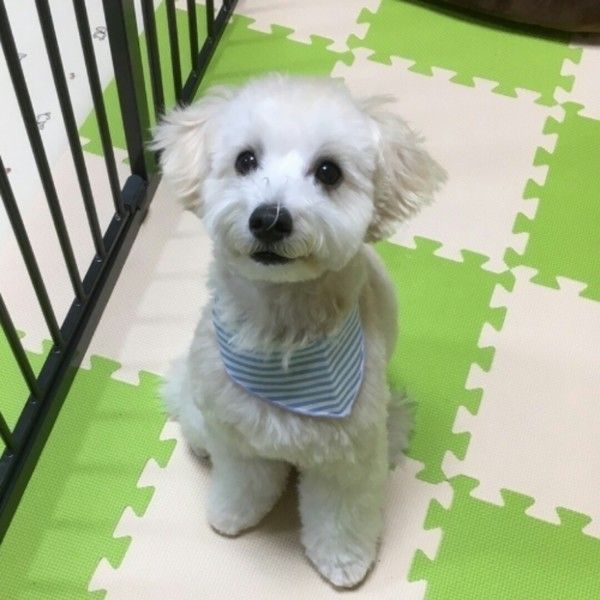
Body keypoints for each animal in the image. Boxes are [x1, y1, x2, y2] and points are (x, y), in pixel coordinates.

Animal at [153, 74, 445, 588]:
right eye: (246, 160)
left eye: (329, 172)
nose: (269, 219)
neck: (281, 331)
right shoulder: (237, 436)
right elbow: (243, 481)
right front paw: (232, 515)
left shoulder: (349, 457)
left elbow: (340, 514)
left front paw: (344, 560)